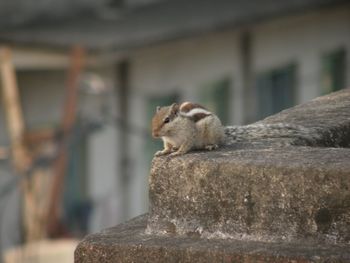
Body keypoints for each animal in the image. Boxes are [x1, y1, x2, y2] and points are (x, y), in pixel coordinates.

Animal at [150, 102, 320, 157]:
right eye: (153, 119)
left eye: (167, 120)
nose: (154, 134)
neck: (172, 133)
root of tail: (224, 135)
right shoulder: (167, 140)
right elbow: (167, 146)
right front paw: (163, 152)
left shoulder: (189, 136)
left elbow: (186, 146)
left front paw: (178, 152)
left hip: (211, 132)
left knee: (217, 142)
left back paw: (211, 145)